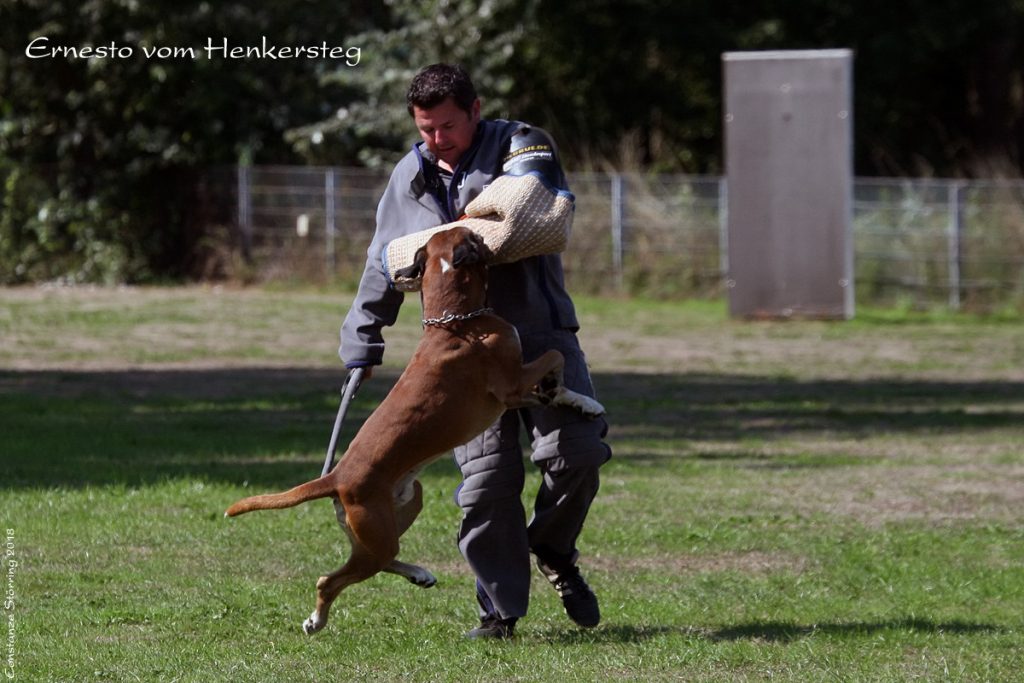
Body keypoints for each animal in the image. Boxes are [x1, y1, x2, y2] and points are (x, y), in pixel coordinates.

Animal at [226, 227, 598, 634]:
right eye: (472, 236)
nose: (481, 229)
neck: (458, 322)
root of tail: (336, 477)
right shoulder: (511, 386)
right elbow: (554, 357)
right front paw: (558, 389)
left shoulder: (514, 392)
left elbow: (558, 385)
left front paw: (580, 402)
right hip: (378, 533)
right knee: (330, 580)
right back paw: (317, 620)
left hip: (401, 509)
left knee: (376, 561)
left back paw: (419, 574)